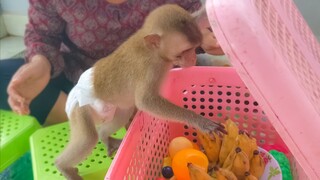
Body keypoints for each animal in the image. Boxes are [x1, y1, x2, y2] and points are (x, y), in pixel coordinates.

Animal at [55, 4, 225, 180]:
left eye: (194, 47)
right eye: (185, 50)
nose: (193, 59)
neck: (154, 51)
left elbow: (200, 18)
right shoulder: (150, 68)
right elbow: (145, 101)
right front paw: (201, 122)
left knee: (120, 116)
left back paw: (104, 137)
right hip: (79, 109)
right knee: (88, 138)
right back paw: (62, 166)